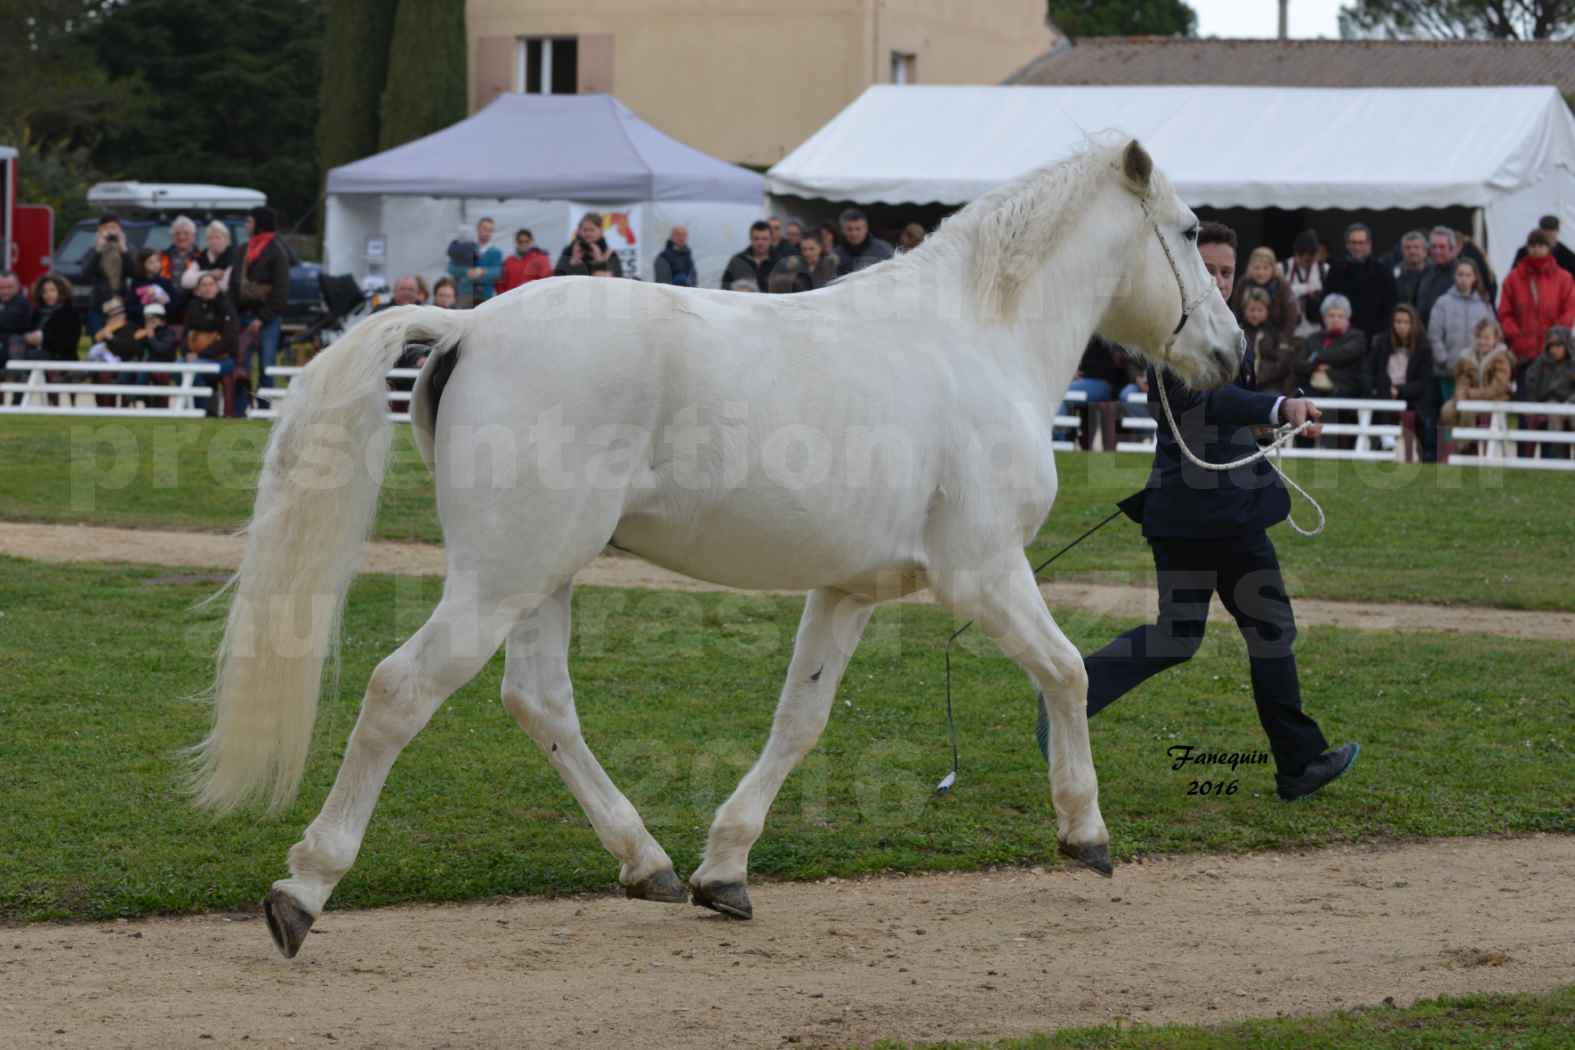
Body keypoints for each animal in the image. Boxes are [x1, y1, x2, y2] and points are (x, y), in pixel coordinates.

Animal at [187, 139, 1241, 963]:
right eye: (1193, 233)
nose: (1234, 353)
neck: (977, 339)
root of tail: (468, 321)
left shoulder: (847, 592)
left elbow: (798, 723)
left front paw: (724, 870)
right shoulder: (984, 573)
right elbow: (1066, 672)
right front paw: (1085, 833)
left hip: (541, 576)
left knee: (538, 701)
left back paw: (645, 862)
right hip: (500, 578)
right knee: (401, 692)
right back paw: (303, 889)